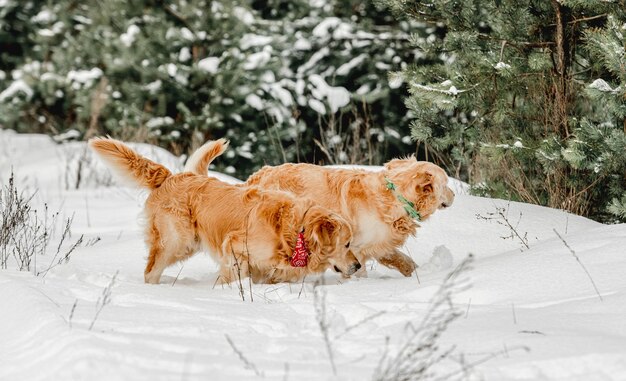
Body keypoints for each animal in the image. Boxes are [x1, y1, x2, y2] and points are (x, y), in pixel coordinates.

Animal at [89, 138, 358, 284]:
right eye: (346, 244)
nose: (357, 267)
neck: (294, 230)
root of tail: (171, 176)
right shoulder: (235, 247)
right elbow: (233, 277)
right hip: (177, 241)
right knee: (150, 271)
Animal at [185, 141, 454, 278]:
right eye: (446, 183)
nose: (454, 195)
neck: (394, 195)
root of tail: (255, 178)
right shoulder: (355, 246)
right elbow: (355, 267)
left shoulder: (378, 242)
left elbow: (400, 258)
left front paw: (419, 274)